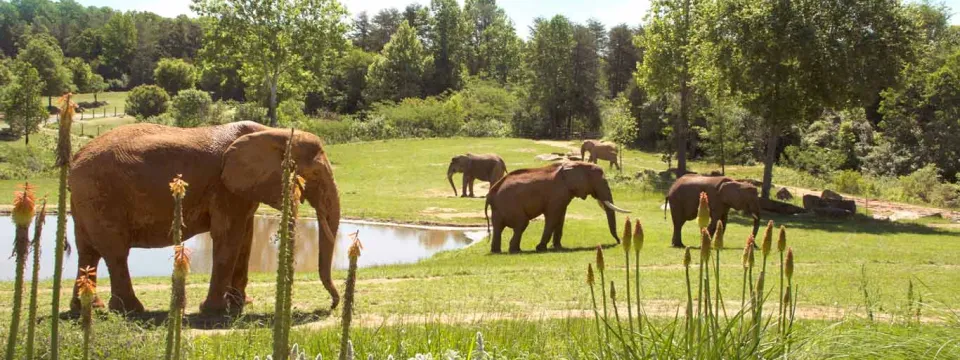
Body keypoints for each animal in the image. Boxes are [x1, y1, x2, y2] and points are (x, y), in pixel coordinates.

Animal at [67, 120, 340, 312]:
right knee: (115, 251)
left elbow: (246, 238)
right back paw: (130, 310)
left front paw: (242, 304)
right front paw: (214, 310)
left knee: (87, 251)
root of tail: (75, 160)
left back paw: (88, 308)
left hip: (85, 201)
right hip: (101, 194)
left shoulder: (241, 189)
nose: (332, 304)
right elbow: (228, 236)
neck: (273, 132)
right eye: (315, 175)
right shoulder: (224, 187)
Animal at [484, 161, 632, 253]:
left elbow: (561, 217)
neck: (574, 164)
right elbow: (553, 217)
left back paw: (497, 251)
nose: (619, 241)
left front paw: (558, 247)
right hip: (510, 205)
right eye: (600, 181)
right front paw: (541, 248)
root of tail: (490, 194)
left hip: (499, 208)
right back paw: (514, 250)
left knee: (498, 228)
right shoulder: (556, 194)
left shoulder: (563, 195)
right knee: (521, 223)